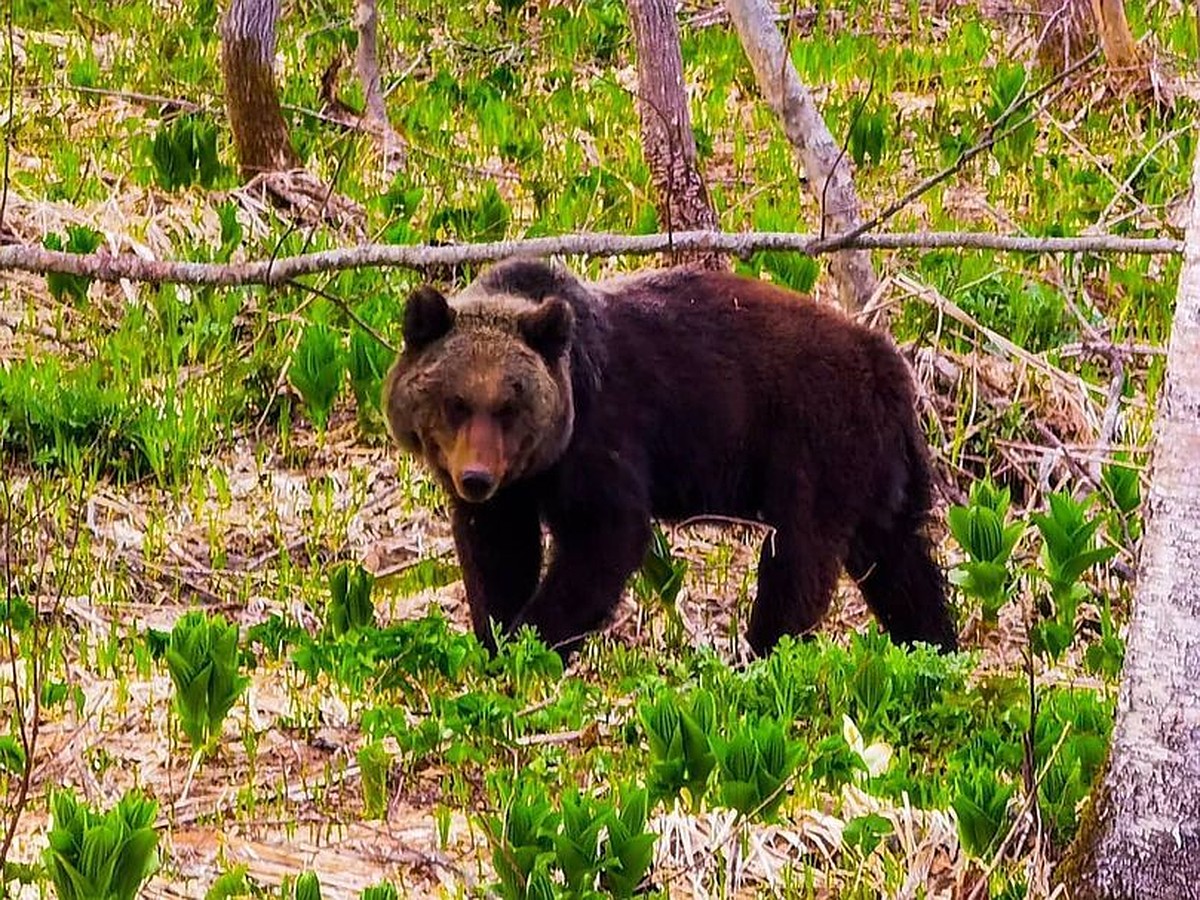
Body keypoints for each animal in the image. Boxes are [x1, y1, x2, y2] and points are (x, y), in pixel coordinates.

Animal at [384, 256, 955, 657]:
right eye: (456, 402)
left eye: (509, 404)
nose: (475, 478)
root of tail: (888, 361)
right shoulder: (513, 491)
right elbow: (496, 552)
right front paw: (496, 634)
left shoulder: (602, 436)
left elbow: (604, 536)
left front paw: (534, 640)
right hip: (880, 469)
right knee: (899, 562)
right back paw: (935, 647)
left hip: (818, 445)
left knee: (800, 558)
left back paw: (759, 654)